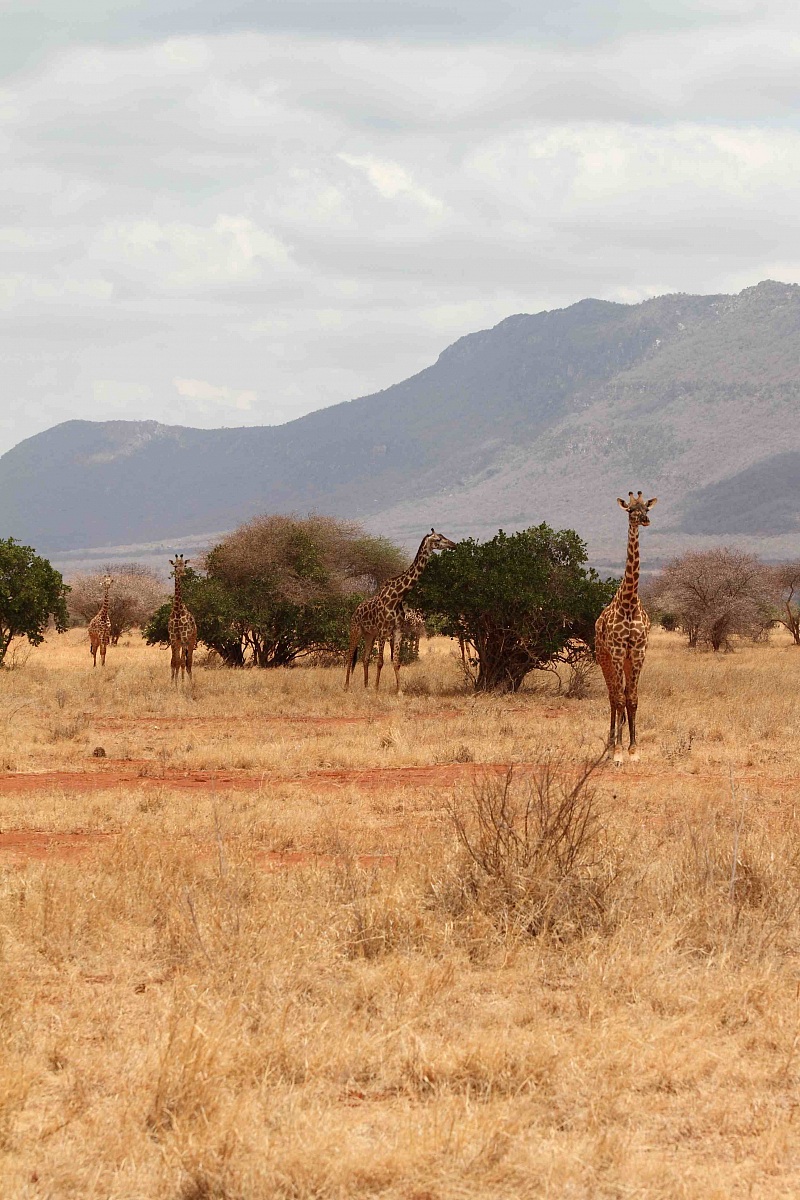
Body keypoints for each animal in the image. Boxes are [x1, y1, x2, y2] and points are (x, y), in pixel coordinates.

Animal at [344, 529, 456, 692]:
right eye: (438, 539)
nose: (453, 545)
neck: (398, 596)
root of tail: (355, 610)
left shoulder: (397, 630)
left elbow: (396, 661)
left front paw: (399, 690)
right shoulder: (383, 630)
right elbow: (380, 662)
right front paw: (377, 689)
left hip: (369, 634)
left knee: (365, 658)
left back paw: (365, 686)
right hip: (356, 630)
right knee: (350, 655)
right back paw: (346, 686)